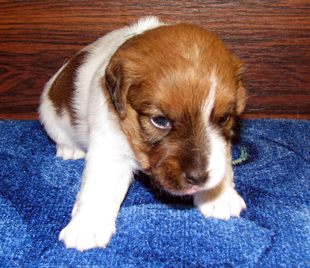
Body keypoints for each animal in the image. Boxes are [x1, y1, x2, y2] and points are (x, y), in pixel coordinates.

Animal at [38, 16, 247, 251]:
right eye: (160, 121)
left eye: (224, 118)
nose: (199, 178)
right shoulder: (109, 150)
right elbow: (98, 186)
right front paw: (86, 226)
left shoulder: (222, 143)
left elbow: (223, 162)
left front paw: (219, 196)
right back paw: (70, 149)